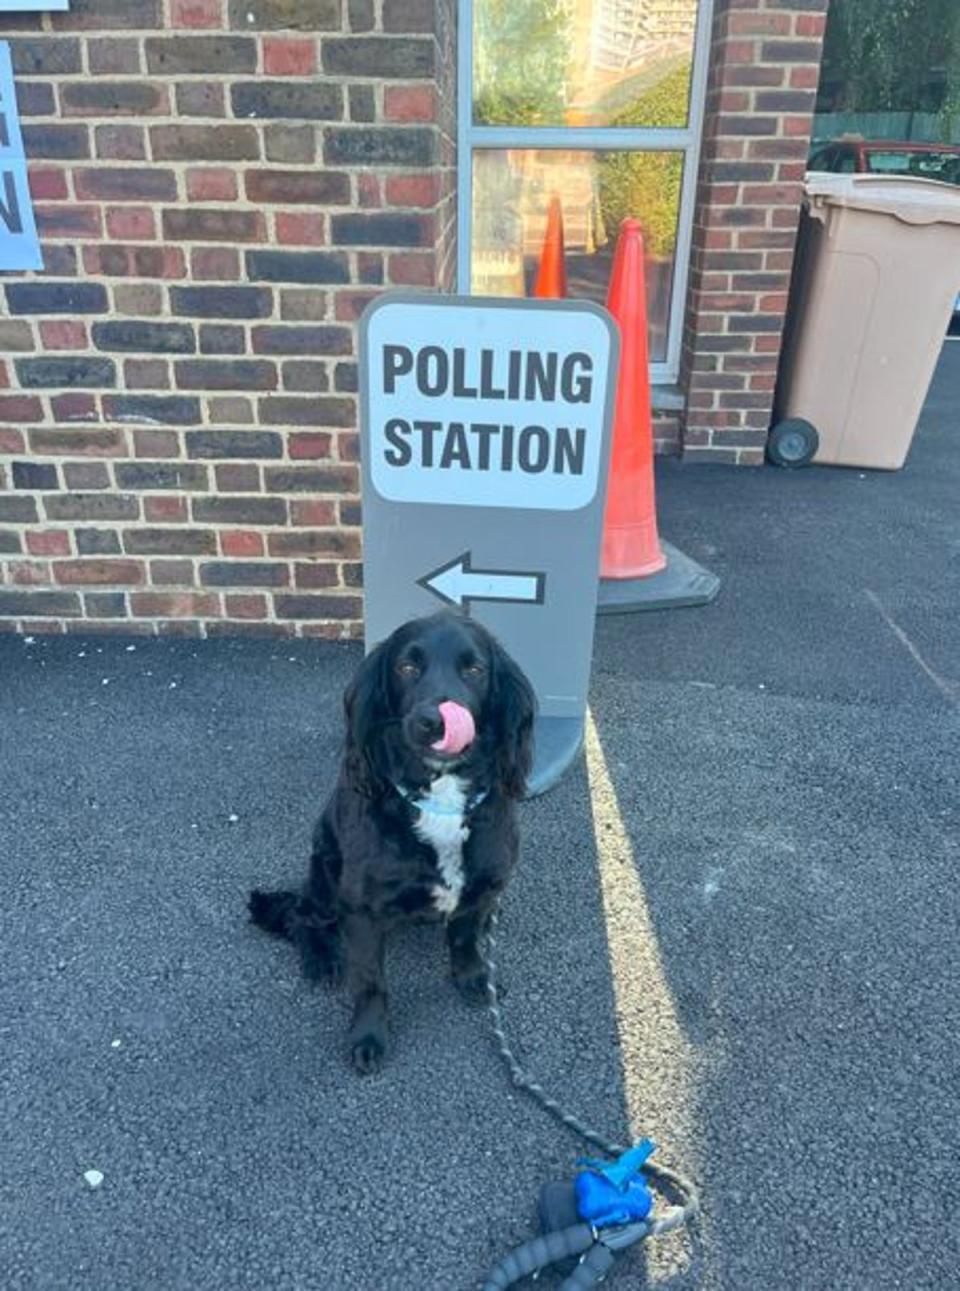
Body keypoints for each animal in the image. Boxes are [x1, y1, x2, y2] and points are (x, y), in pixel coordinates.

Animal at [249, 609, 531, 1074]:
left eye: (475, 670)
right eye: (407, 667)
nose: (435, 722)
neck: (440, 799)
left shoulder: (482, 885)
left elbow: (465, 939)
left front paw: (473, 977)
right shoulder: (361, 909)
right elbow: (369, 981)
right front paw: (369, 1035)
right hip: (324, 873)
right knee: (302, 917)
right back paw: (321, 958)